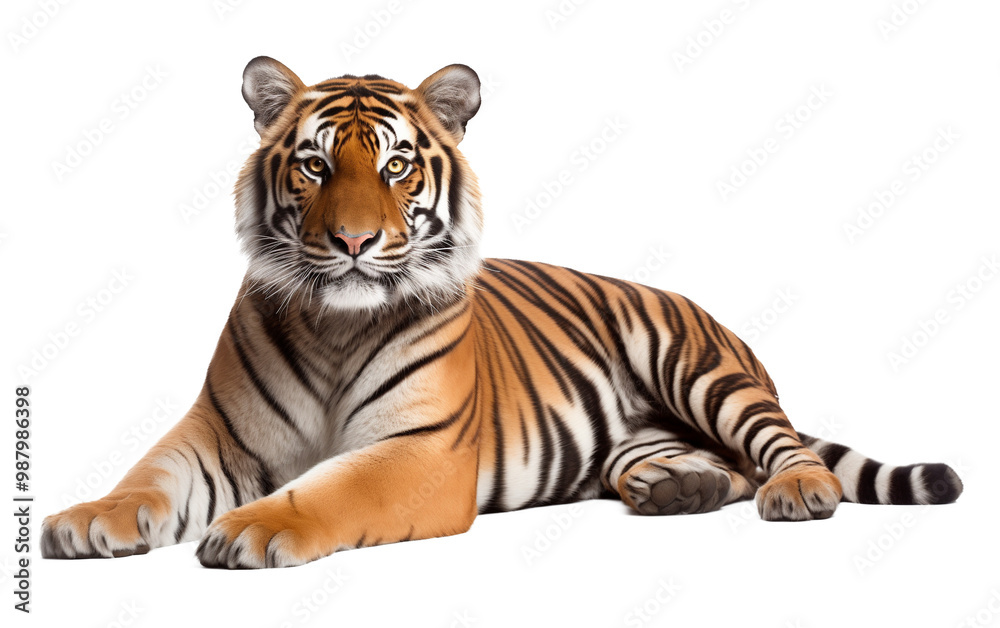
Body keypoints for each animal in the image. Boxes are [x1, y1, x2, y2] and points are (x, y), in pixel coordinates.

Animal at [41, 57, 963, 568]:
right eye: (313, 165)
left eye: (397, 165)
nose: (352, 241)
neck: (338, 323)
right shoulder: (218, 432)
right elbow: (148, 476)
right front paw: (86, 521)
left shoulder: (420, 451)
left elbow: (330, 489)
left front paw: (254, 529)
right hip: (643, 435)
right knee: (718, 465)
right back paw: (684, 490)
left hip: (699, 368)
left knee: (774, 447)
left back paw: (799, 492)